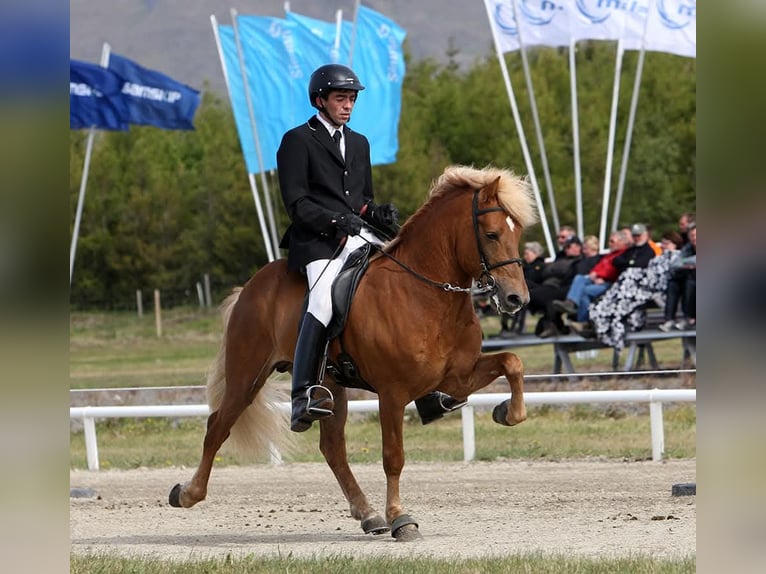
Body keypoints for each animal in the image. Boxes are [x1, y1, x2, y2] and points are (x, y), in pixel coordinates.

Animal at [169, 164, 538, 541]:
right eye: (491, 234)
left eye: (518, 233)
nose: (516, 299)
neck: (426, 293)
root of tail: (250, 287)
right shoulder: (392, 392)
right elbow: (393, 455)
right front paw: (401, 518)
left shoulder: (456, 378)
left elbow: (512, 362)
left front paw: (508, 412)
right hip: (247, 375)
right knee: (218, 426)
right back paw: (187, 494)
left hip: (331, 385)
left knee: (332, 448)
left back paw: (368, 514)